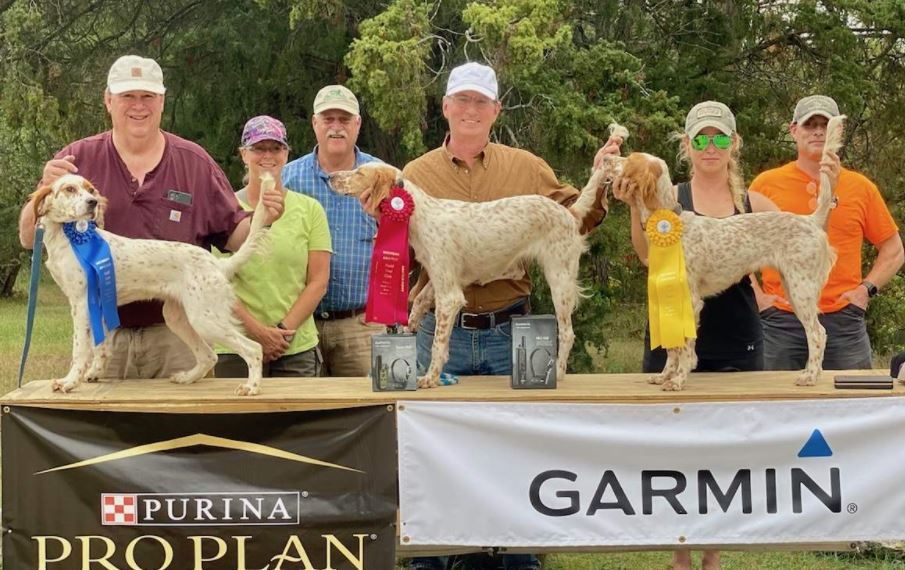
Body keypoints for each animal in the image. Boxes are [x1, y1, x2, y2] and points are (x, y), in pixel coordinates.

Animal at [32, 173, 272, 394]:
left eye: (90, 190)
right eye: (70, 189)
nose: (93, 202)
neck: (66, 237)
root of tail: (218, 264)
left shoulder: (81, 304)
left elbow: (80, 349)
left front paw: (70, 382)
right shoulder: (95, 305)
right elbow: (100, 345)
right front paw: (95, 373)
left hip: (205, 319)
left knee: (253, 349)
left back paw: (251, 387)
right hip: (179, 318)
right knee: (209, 356)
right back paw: (187, 378)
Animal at [326, 162, 608, 388]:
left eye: (358, 172)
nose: (329, 176)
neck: (419, 214)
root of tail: (568, 213)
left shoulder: (449, 296)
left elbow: (439, 343)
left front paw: (430, 378)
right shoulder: (441, 279)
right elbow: (419, 302)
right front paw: (410, 326)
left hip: (559, 278)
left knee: (567, 333)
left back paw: (557, 374)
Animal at [596, 117, 844, 388]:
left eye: (629, 160)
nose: (606, 157)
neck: (670, 222)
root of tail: (810, 220)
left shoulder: (691, 300)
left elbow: (684, 346)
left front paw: (679, 379)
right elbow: (672, 348)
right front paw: (664, 375)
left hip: (801, 289)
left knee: (817, 333)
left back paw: (810, 375)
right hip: (794, 288)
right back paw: (813, 373)